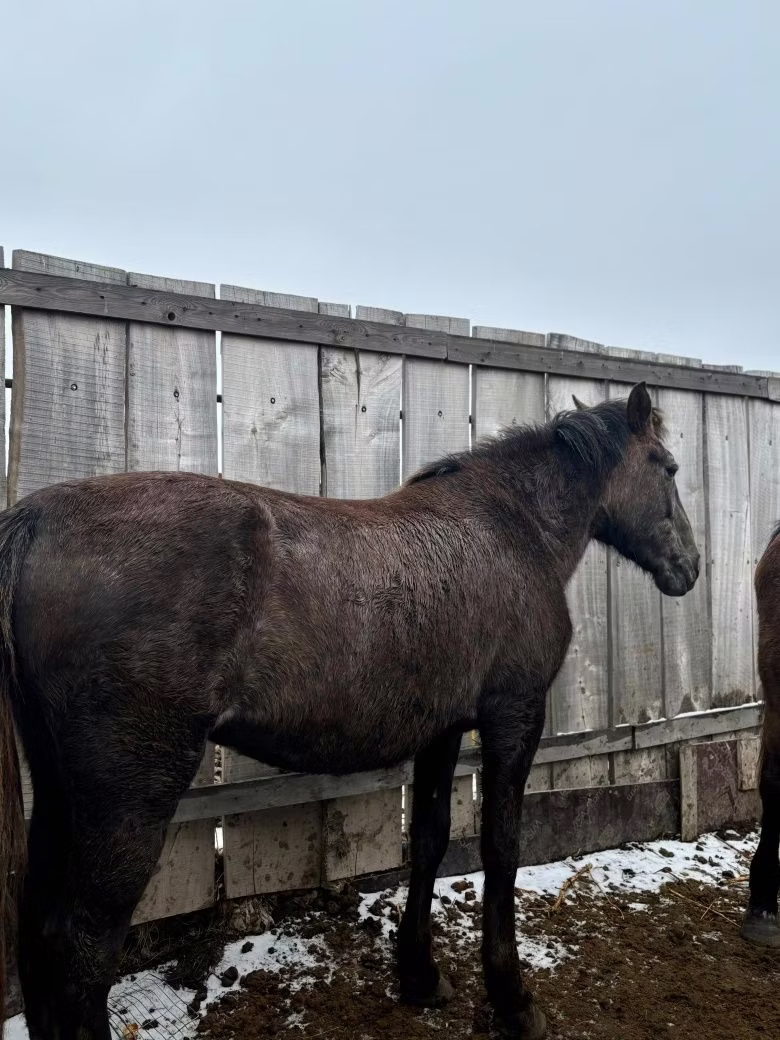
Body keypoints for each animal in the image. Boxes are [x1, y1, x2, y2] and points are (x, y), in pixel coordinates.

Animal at [0, 381, 699, 1040]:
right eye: (667, 467)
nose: (690, 567)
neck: (512, 526)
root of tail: (35, 522)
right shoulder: (514, 718)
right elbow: (501, 850)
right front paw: (514, 1004)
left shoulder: (443, 731)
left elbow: (430, 840)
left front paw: (420, 977)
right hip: (128, 797)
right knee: (82, 948)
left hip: (62, 789)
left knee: (38, 932)